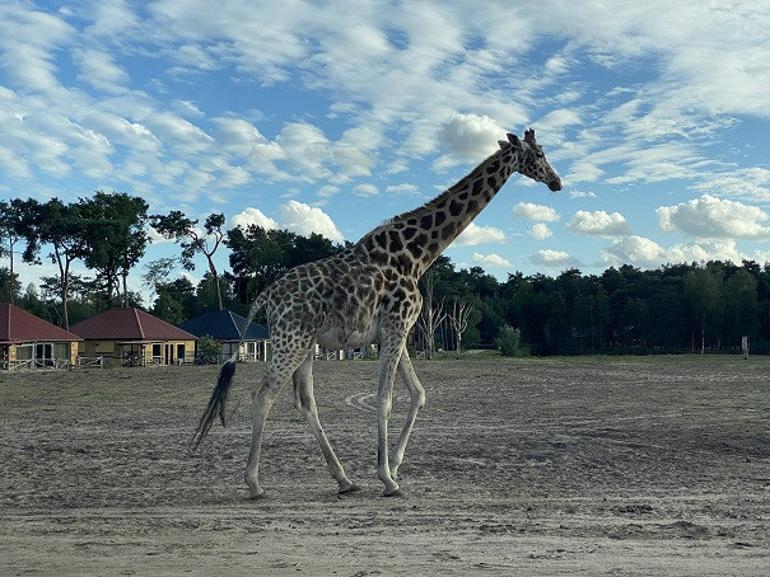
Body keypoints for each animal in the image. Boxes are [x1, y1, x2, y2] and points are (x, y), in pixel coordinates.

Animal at [191, 129, 560, 496]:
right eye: (540, 154)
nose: (557, 182)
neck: (418, 256)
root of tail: (265, 296)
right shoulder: (397, 326)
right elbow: (385, 399)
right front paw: (387, 478)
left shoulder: (397, 330)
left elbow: (418, 394)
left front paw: (393, 465)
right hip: (289, 340)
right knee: (263, 395)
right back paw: (255, 483)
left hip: (305, 344)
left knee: (305, 402)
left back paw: (344, 480)